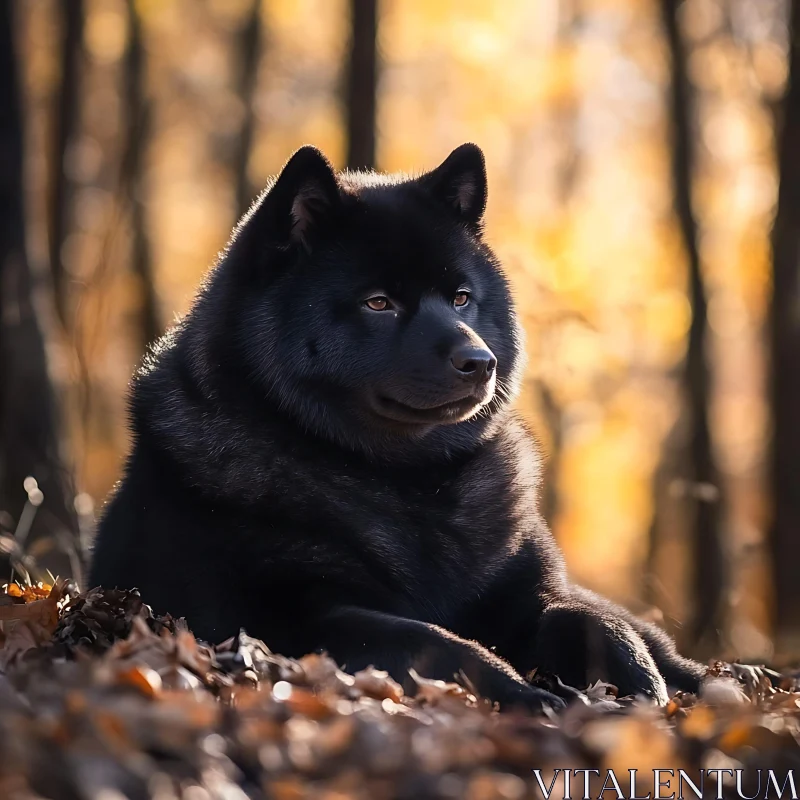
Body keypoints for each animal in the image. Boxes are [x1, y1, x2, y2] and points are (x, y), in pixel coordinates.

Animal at [90, 145, 708, 712]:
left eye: (461, 297)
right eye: (379, 303)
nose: (480, 361)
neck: (411, 484)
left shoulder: (531, 593)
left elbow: (596, 624)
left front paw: (647, 695)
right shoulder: (286, 616)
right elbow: (434, 642)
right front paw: (528, 696)